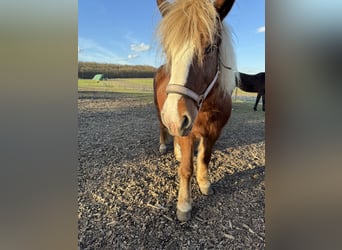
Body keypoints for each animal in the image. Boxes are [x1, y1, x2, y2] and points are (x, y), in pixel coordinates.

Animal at [154, 0, 236, 221]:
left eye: (209, 48)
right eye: (169, 50)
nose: (174, 117)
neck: (206, 107)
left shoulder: (214, 132)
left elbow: (204, 158)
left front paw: (204, 182)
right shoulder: (187, 132)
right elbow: (186, 169)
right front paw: (184, 204)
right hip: (161, 112)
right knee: (163, 128)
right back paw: (165, 145)